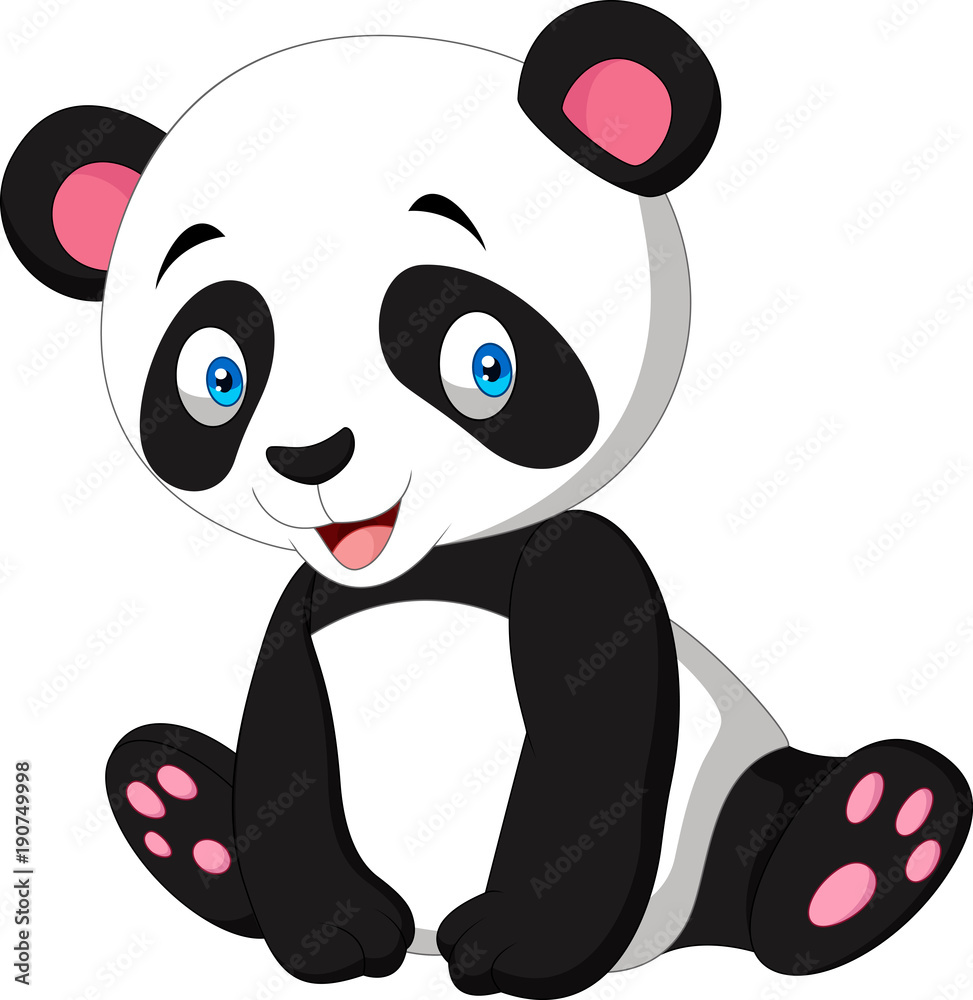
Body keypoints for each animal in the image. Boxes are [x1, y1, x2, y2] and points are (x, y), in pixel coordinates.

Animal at [2, 3, 970, 998]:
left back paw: (865, 840)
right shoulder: (302, 616)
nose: (312, 455)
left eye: (483, 360)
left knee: (761, 835)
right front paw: (333, 935)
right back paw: (176, 806)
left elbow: (587, 761)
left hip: (719, 797)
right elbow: (285, 757)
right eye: (216, 376)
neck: (422, 570)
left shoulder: (580, 577)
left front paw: (518, 948)